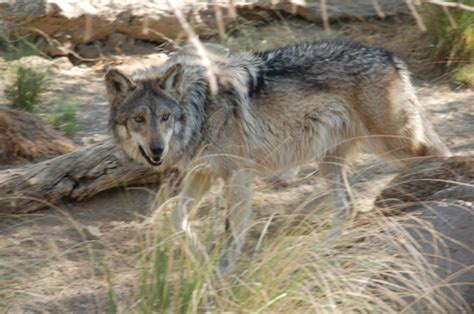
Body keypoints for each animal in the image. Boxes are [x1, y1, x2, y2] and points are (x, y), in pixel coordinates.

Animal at [105, 39, 450, 272]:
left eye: (165, 117)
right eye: (139, 119)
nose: (157, 150)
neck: (200, 107)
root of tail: (391, 57)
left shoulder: (238, 176)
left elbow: (232, 232)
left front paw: (222, 271)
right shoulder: (203, 173)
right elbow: (178, 219)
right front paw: (202, 257)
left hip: (391, 144)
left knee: (437, 156)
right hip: (330, 162)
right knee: (349, 206)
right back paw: (320, 250)